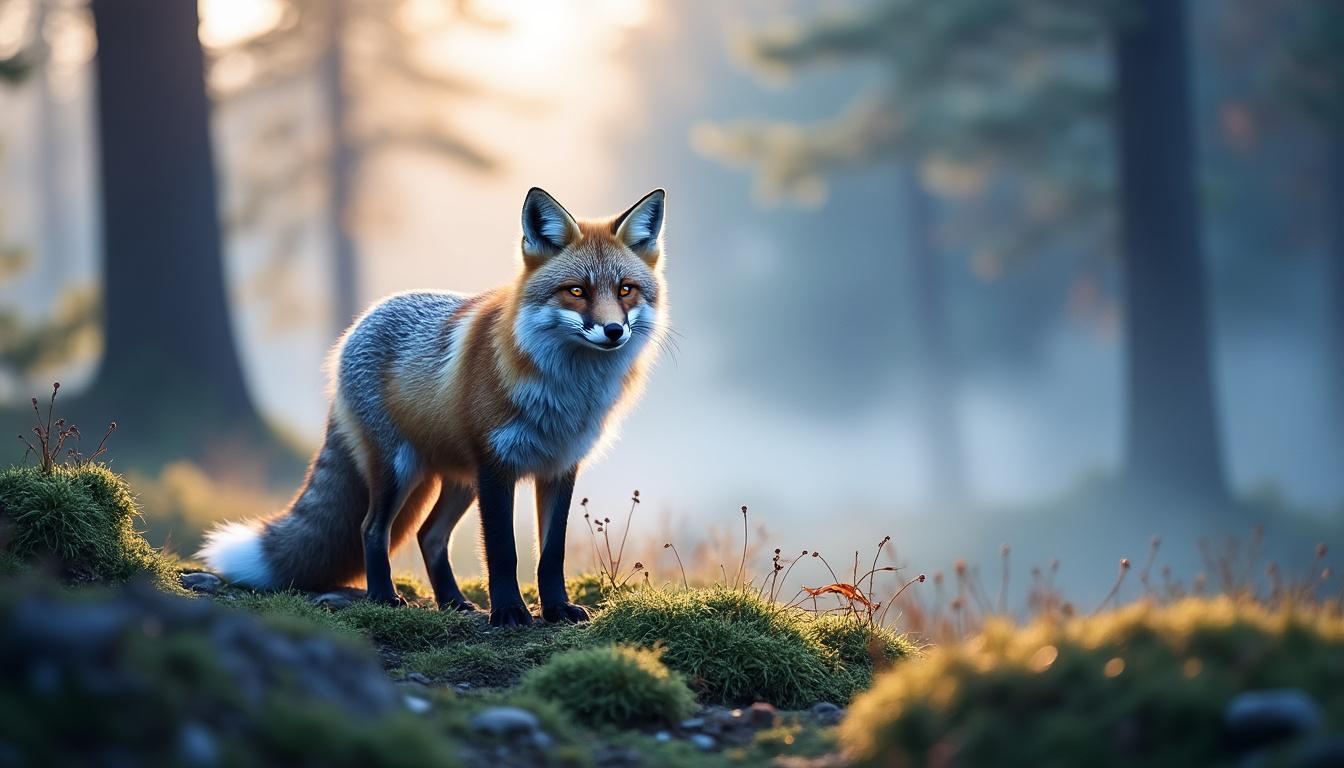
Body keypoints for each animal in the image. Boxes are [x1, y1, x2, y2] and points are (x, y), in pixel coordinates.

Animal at [199, 187, 667, 627]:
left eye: (625, 290)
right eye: (576, 291)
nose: (613, 331)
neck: (566, 392)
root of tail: (359, 323)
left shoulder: (560, 466)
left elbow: (551, 554)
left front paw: (555, 609)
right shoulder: (496, 467)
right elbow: (503, 552)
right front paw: (509, 612)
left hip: (459, 480)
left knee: (429, 536)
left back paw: (453, 602)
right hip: (401, 469)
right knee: (372, 529)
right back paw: (384, 597)